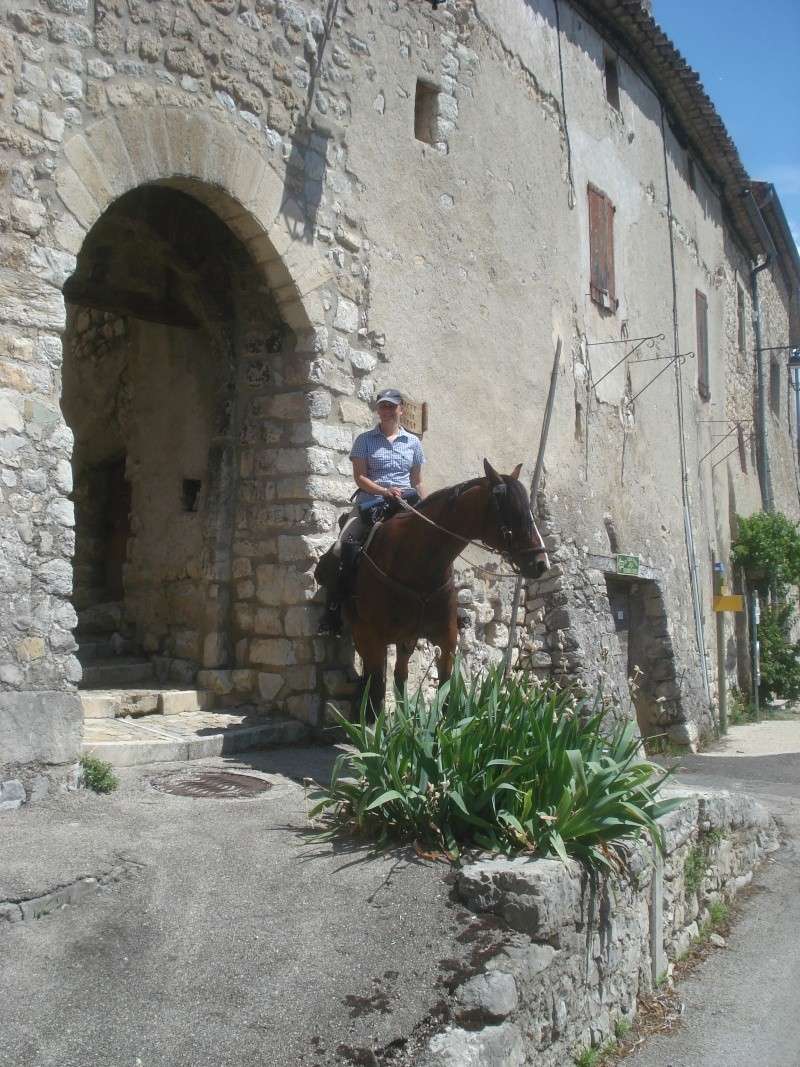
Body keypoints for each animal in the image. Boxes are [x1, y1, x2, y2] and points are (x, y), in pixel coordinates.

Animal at [339, 458, 550, 708]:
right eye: (514, 512)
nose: (541, 563)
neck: (418, 566)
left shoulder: (446, 639)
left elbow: (447, 692)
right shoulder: (374, 639)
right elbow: (376, 696)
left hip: (405, 641)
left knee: (400, 677)